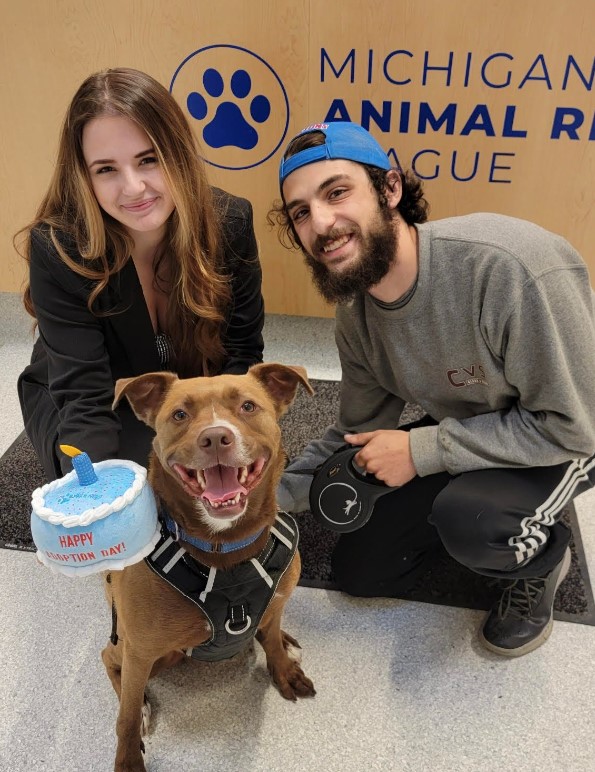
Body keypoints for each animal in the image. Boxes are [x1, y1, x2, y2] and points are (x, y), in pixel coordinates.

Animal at [103, 364, 316, 768]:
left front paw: (282, 667)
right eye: (179, 415)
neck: (224, 549)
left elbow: (272, 641)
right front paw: (128, 757)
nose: (216, 437)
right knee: (111, 662)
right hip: (147, 651)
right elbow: (125, 717)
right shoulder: (140, 650)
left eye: (248, 406)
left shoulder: (277, 602)